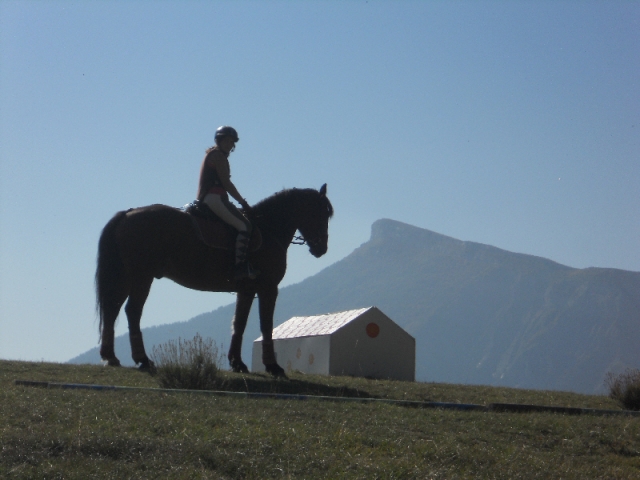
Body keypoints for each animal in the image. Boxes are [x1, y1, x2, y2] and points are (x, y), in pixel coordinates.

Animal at [95, 184, 333, 377]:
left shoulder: (247, 290)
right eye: (320, 213)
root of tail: (127, 214)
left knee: (112, 309)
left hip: (126, 277)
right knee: (132, 311)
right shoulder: (268, 288)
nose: (322, 248)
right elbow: (265, 325)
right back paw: (142, 359)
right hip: (141, 277)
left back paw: (111, 357)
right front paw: (273, 367)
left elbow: (239, 323)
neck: (268, 229)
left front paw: (237, 363)